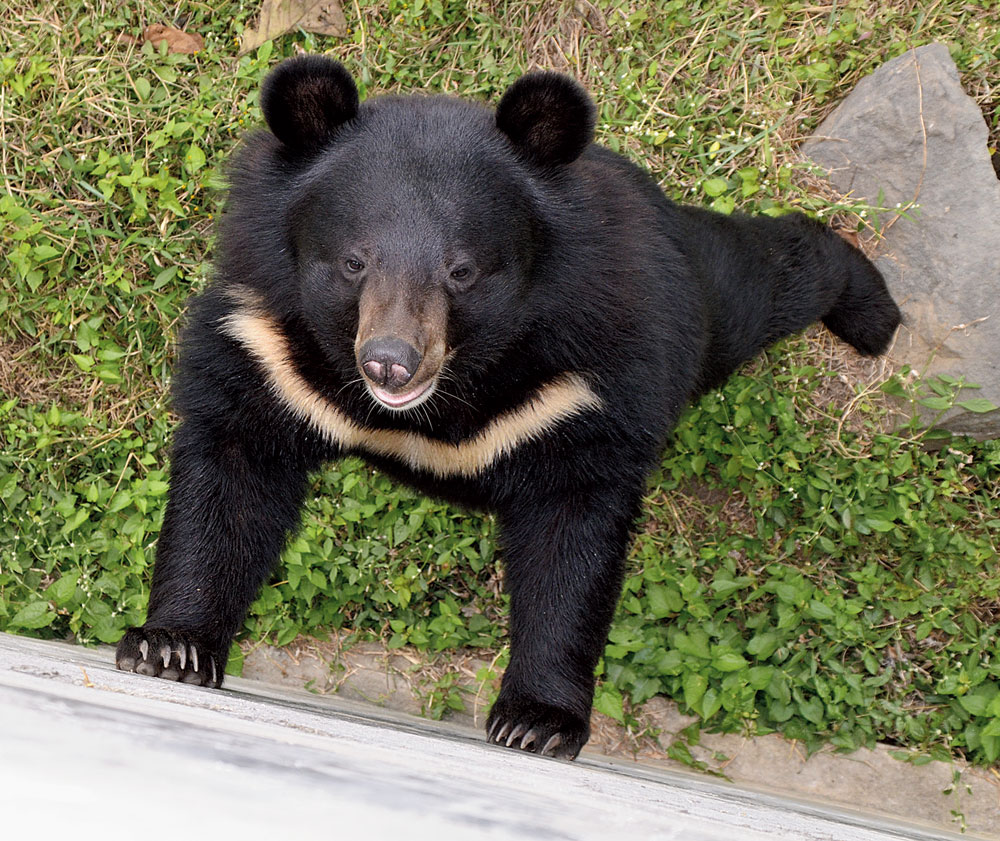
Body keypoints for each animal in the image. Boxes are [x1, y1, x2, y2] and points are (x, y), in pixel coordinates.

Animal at [116, 56, 901, 760]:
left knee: (770, 276)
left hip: (699, 299)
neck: (446, 394)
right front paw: (169, 648)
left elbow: (571, 537)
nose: (391, 360)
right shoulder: (268, 348)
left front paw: (536, 724)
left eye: (462, 270)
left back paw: (875, 315)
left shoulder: (581, 388)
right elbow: (233, 472)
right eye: (353, 262)